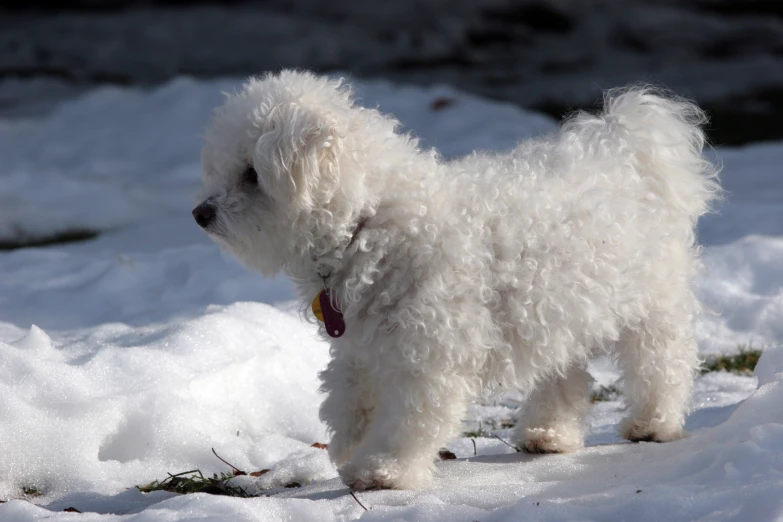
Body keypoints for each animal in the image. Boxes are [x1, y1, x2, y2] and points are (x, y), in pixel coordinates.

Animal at [194, 69, 724, 488]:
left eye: (252, 174)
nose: (200, 214)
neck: (372, 222)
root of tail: (627, 150)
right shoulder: (362, 348)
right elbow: (349, 400)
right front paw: (352, 449)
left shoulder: (426, 352)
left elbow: (408, 418)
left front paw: (385, 470)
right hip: (556, 311)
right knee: (565, 375)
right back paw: (547, 434)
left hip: (651, 302)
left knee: (662, 362)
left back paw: (653, 423)